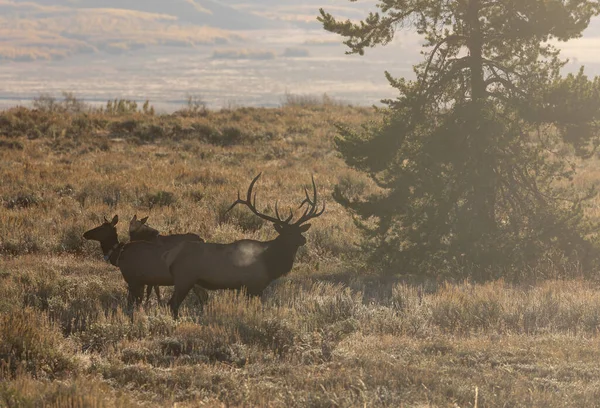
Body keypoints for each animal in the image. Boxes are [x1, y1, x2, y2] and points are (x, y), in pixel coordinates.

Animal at [163, 172, 324, 318]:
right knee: (172, 304)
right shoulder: (253, 285)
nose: (303, 240)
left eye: (298, 230)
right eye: (287, 233)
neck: (270, 263)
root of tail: (170, 256)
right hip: (184, 278)